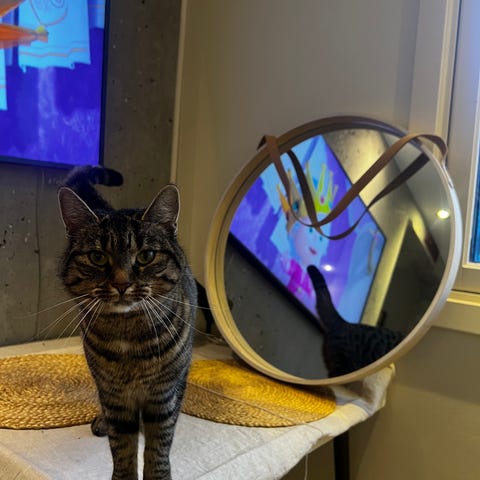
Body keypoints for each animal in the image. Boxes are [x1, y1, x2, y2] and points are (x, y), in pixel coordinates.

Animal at [58, 166, 197, 480]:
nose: (122, 284)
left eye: (146, 255)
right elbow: (122, 450)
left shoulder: (163, 397)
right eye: (97, 257)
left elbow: (158, 449)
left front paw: (159, 473)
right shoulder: (115, 399)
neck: (128, 335)